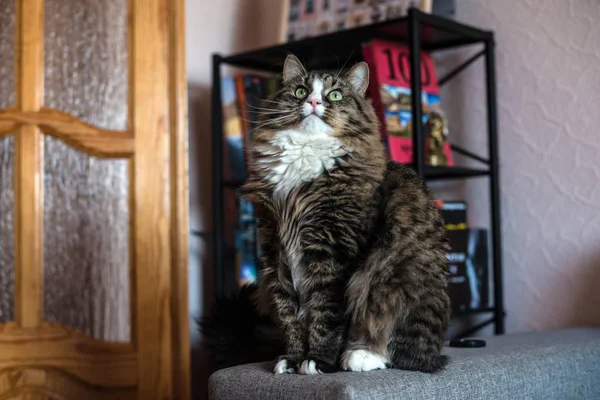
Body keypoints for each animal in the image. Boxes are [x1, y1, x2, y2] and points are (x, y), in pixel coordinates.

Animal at [239, 54, 450, 376]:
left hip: (399, 279)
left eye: (335, 95)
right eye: (300, 91)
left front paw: (318, 361)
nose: (314, 102)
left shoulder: (334, 251)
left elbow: (326, 313)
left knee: (407, 355)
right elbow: (290, 316)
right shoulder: (275, 254)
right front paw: (293, 359)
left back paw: (362, 355)